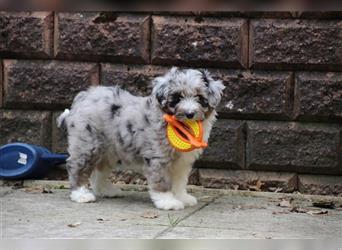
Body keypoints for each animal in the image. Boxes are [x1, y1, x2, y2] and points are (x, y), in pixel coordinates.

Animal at [57, 67, 224, 210]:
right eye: (177, 98)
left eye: (199, 97)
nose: (190, 114)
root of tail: (82, 99)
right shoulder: (158, 157)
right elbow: (161, 180)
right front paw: (167, 201)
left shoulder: (182, 162)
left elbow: (180, 181)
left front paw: (182, 197)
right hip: (87, 143)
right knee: (76, 166)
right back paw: (81, 194)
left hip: (109, 150)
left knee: (99, 170)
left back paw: (106, 191)